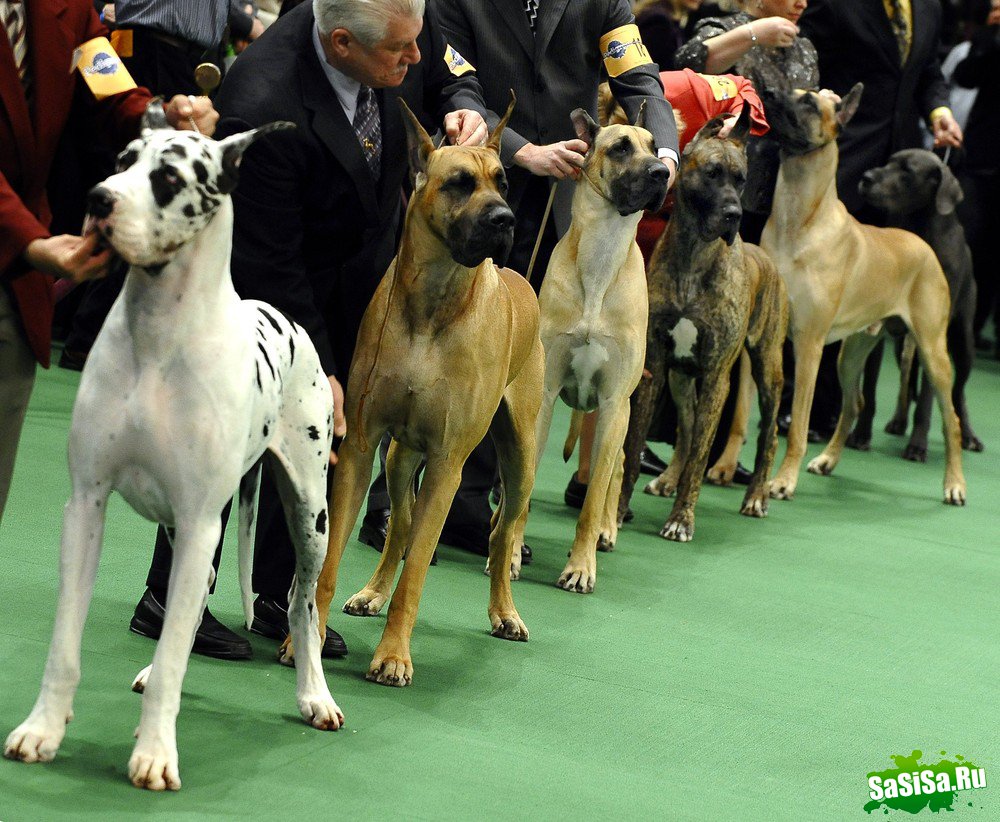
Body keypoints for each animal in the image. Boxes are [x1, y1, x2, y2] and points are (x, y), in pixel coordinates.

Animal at [616, 108, 788, 548]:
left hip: (768, 369)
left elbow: (700, 458)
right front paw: (619, 511)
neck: (694, 255)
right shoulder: (656, 367)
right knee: (689, 426)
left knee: (767, 435)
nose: (735, 215)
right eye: (712, 173)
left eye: (741, 178)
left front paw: (681, 520)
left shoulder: (716, 378)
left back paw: (757, 496)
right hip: (681, 377)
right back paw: (668, 479)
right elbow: (638, 442)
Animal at [848, 148, 980, 460]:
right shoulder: (878, 329)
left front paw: (918, 445)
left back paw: (968, 435)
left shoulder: (935, 339)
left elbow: (928, 401)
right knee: (907, 384)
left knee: (958, 392)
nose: (866, 177)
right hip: (902, 345)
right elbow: (871, 390)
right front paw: (861, 435)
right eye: (888, 161)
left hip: (963, 341)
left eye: (907, 172)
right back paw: (898, 421)